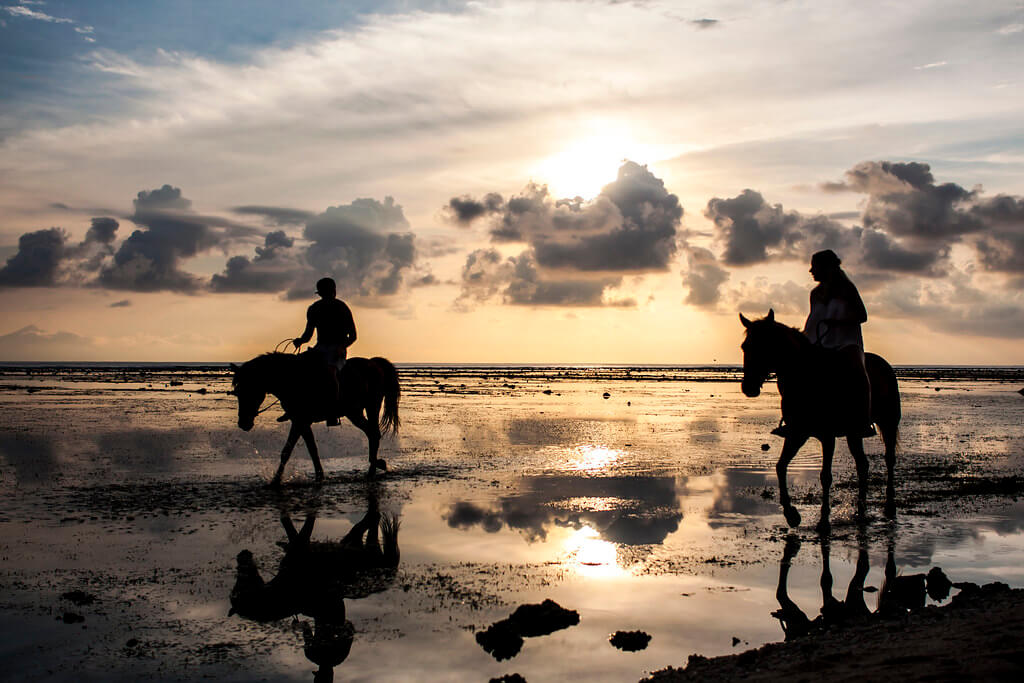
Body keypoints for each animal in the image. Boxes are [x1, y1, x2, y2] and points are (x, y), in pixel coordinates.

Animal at [231, 352, 399, 485]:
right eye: (237, 393)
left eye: (248, 390)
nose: (243, 423)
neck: (290, 378)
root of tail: (373, 363)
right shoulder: (301, 422)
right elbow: (312, 449)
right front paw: (319, 476)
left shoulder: (300, 420)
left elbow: (287, 451)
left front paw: (276, 480)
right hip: (356, 412)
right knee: (372, 434)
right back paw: (377, 465)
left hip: (369, 407)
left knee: (374, 434)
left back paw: (373, 469)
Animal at [741, 307, 901, 532]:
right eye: (745, 347)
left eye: (766, 345)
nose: (748, 387)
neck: (808, 378)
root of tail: (884, 364)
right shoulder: (798, 432)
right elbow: (781, 466)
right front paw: (792, 515)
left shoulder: (827, 436)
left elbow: (825, 476)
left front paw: (824, 521)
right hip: (854, 434)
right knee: (863, 465)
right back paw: (861, 510)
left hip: (888, 423)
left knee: (889, 459)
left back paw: (889, 506)